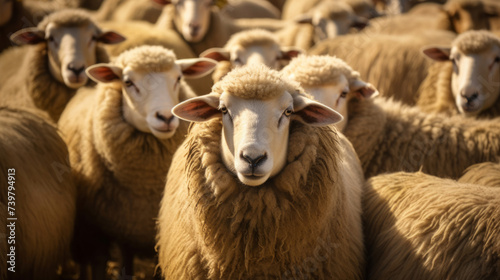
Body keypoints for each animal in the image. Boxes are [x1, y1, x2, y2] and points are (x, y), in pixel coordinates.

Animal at [57, 46, 217, 278]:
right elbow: (99, 264)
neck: (145, 185)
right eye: (128, 82)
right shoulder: (97, 230)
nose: (165, 117)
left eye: (178, 78)